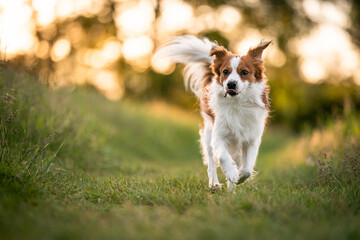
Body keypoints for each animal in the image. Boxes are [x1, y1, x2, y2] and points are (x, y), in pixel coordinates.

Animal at [153, 35, 272, 189]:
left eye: (244, 72)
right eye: (225, 72)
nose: (231, 84)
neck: (237, 103)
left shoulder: (251, 139)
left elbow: (247, 169)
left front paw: (238, 177)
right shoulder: (218, 136)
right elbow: (222, 156)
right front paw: (232, 172)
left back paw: (231, 189)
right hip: (208, 135)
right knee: (211, 163)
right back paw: (214, 184)